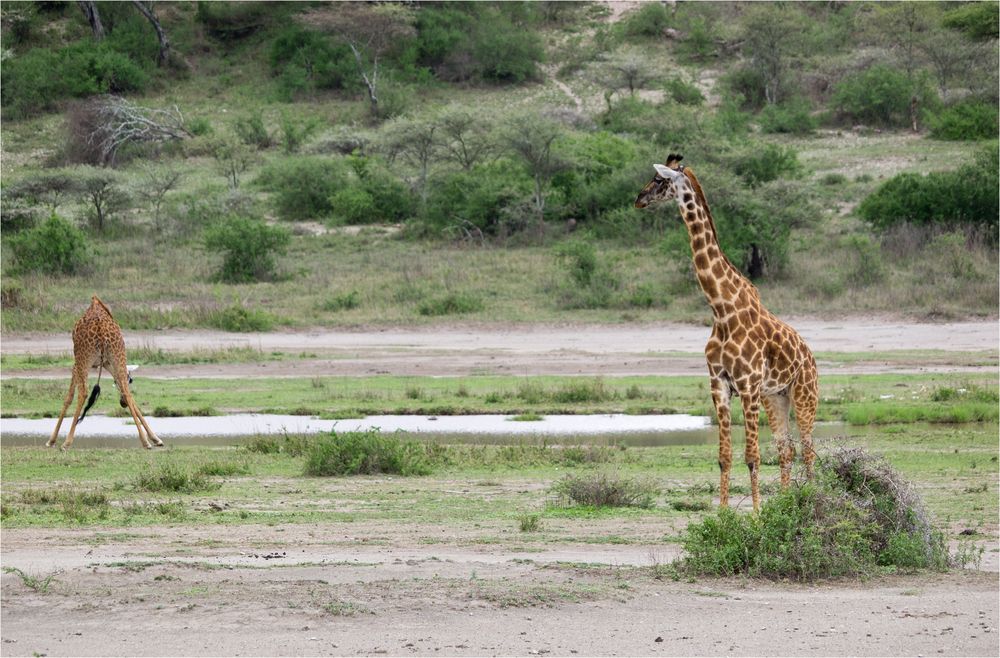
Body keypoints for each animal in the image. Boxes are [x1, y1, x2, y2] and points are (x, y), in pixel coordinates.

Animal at [47, 294, 162, 448]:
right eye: (131, 380)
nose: (122, 404)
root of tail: (101, 330)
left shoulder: (77, 364)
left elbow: (68, 397)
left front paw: (51, 440)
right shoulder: (107, 363)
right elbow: (128, 393)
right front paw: (155, 438)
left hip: (84, 360)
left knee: (83, 392)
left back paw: (66, 442)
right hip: (118, 355)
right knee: (126, 392)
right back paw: (145, 441)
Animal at [636, 156, 816, 510]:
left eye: (658, 180)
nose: (639, 199)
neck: (721, 310)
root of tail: (811, 356)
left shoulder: (746, 386)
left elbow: (752, 457)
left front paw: (757, 515)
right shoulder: (719, 384)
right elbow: (725, 457)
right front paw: (722, 514)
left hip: (805, 394)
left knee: (809, 451)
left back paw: (815, 502)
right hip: (776, 396)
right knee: (787, 449)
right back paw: (787, 504)